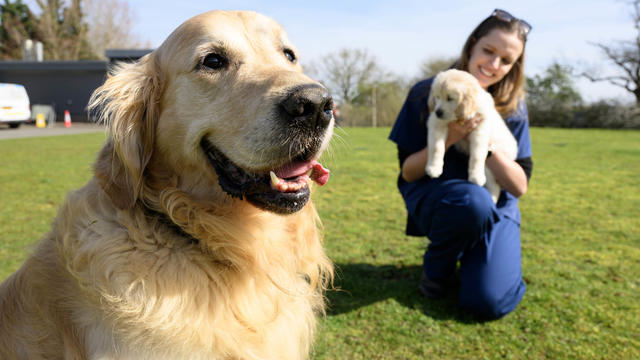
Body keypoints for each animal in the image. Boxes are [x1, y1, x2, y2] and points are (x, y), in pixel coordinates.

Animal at [424, 68, 520, 202]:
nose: (438, 112)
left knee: (495, 187)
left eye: (450, 98)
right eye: (437, 97)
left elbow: (477, 155)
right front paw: (433, 168)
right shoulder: (436, 124)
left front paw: (476, 177)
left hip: (491, 168)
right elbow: (436, 147)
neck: (459, 117)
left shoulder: (480, 130)